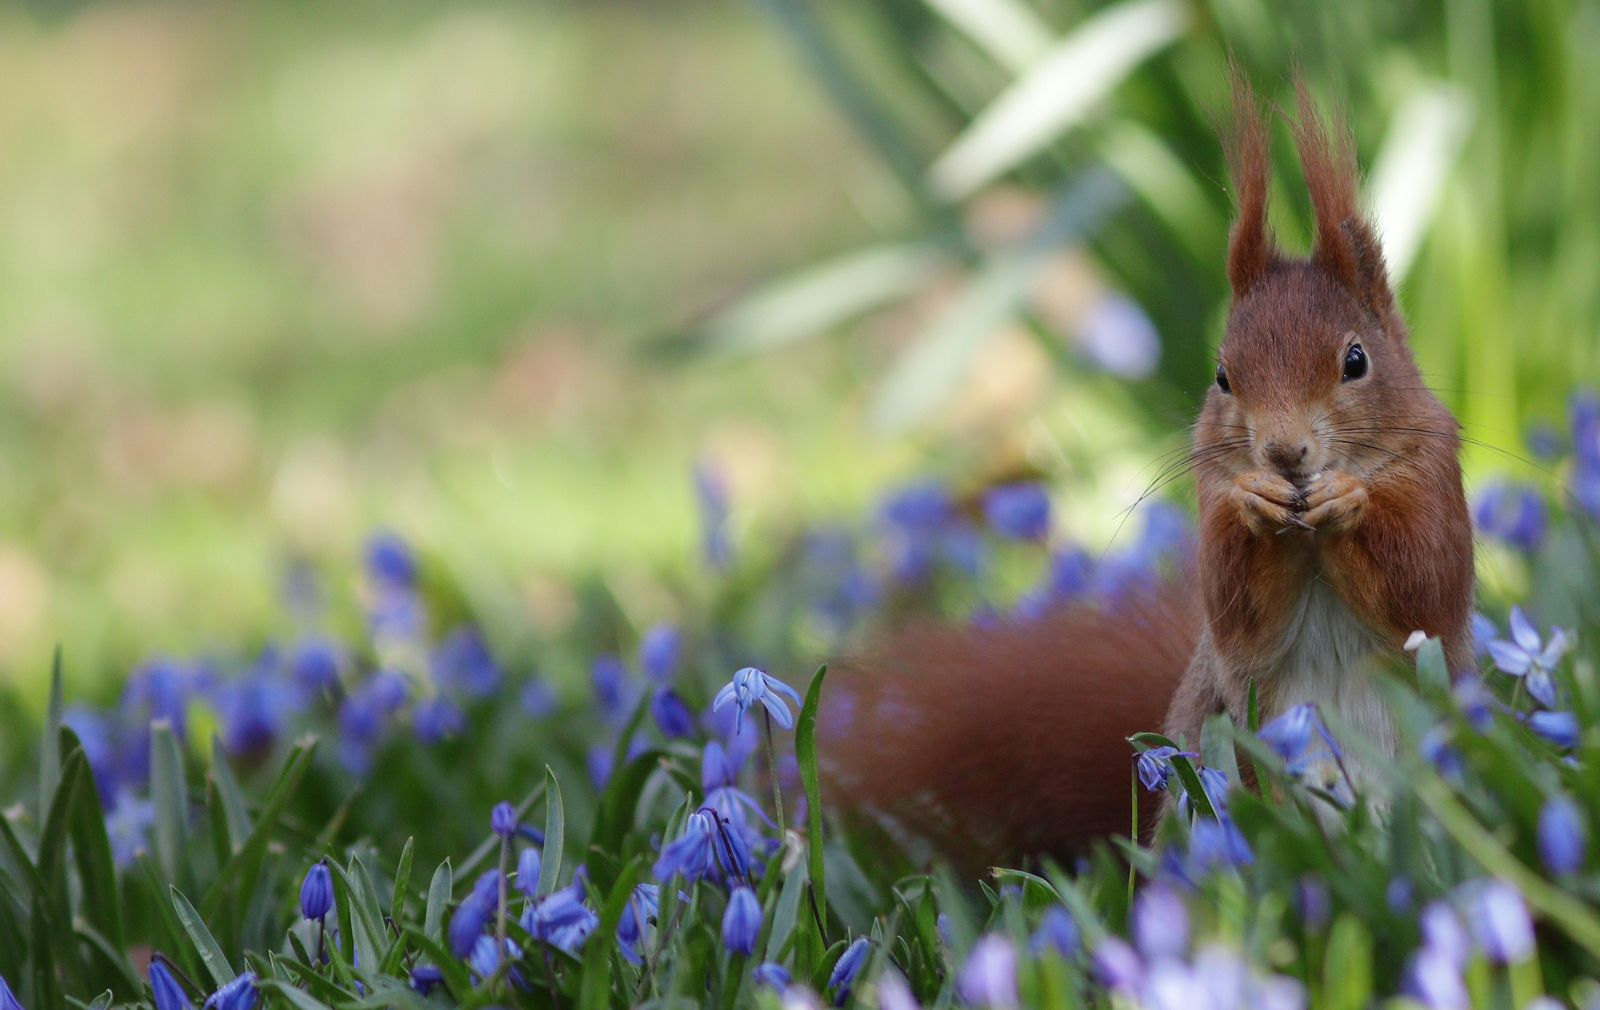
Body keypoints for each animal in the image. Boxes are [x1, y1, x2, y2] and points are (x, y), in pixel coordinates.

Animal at [825, 80, 1472, 870]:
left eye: (1356, 361)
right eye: (1222, 376)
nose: (1284, 454)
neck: (1307, 531)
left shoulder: (1434, 476)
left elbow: (1422, 584)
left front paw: (1350, 499)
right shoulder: (1212, 510)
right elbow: (1236, 606)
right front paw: (1256, 503)